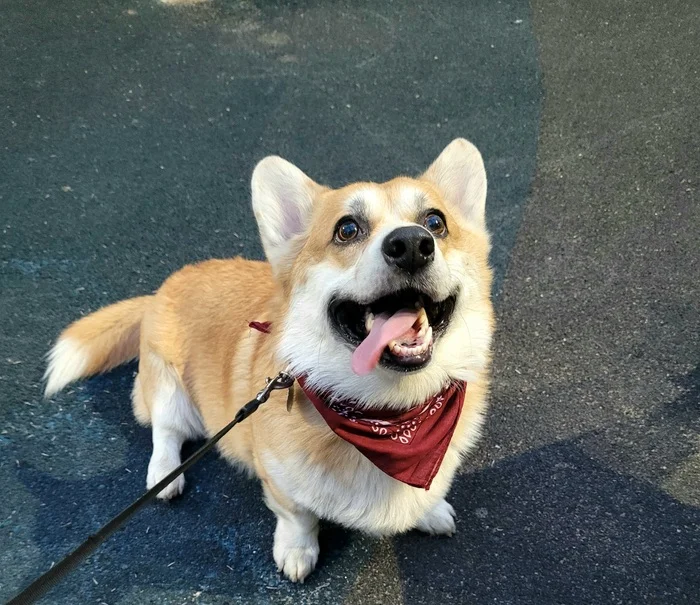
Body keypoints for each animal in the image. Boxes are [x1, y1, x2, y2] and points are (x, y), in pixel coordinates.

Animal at [43, 137, 494, 580]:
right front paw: (296, 552)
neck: (392, 414)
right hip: (168, 387)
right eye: (347, 229)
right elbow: (298, 517)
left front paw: (430, 511)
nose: (412, 245)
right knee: (165, 431)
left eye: (435, 222)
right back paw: (164, 475)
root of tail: (159, 291)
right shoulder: (278, 479)